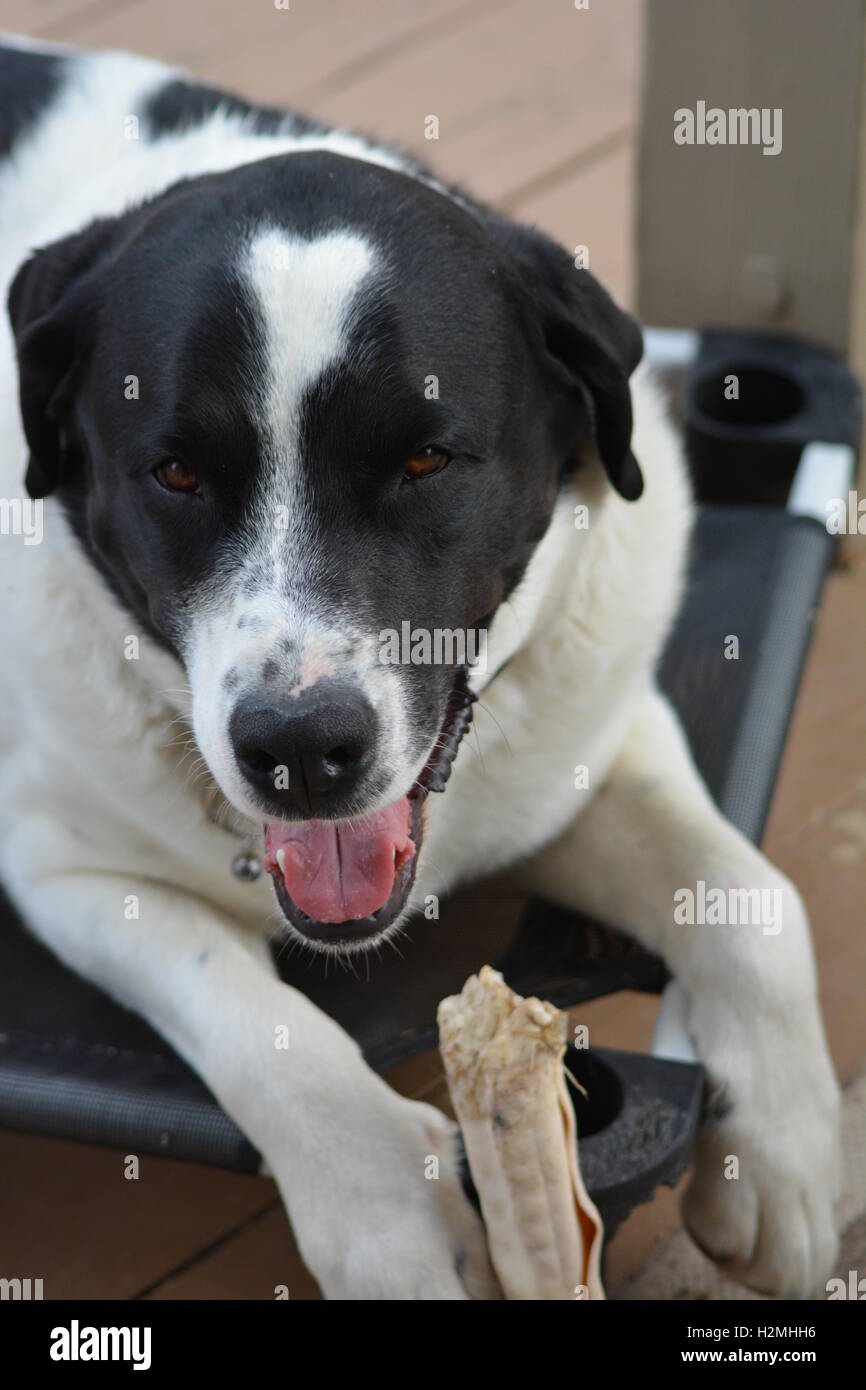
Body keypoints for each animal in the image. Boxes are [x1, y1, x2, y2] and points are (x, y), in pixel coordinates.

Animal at [0, 35, 839, 1301]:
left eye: (425, 459)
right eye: (177, 474)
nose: (300, 750)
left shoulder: (588, 742)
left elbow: (749, 898)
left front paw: (783, 1145)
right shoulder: (62, 862)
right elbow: (255, 1022)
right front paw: (392, 1214)